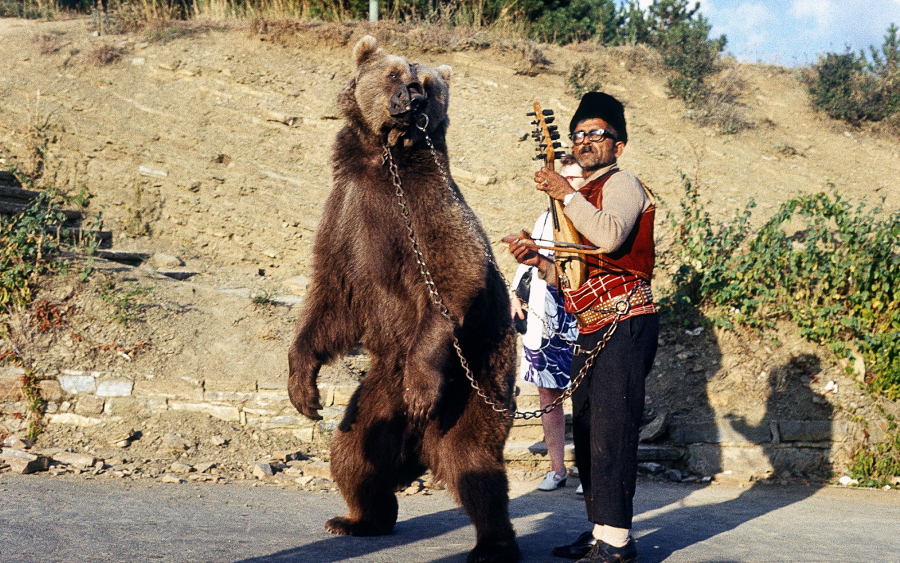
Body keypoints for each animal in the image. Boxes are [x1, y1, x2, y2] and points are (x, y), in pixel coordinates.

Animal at [290, 36, 520, 563]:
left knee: (472, 460)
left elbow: (457, 276)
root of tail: (418, 443)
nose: (413, 100)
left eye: (429, 85)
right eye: (395, 74)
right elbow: (331, 298)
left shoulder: (426, 209)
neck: (386, 161)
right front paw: (303, 387)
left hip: (478, 375)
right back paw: (356, 519)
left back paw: (492, 543)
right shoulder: (348, 213)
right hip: (377, 395)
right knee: (352, 450)